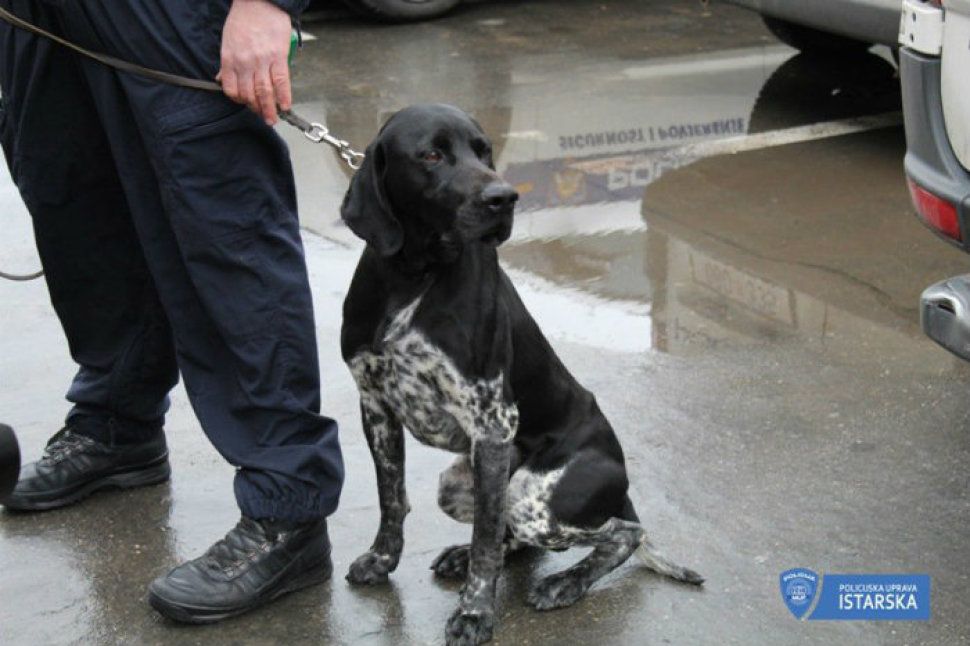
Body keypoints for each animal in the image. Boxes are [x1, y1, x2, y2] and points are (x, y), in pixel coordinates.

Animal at [336, 106, 700, 646]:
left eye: (484, 149)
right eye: (431, 154)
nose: (504, 197)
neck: (414, 276)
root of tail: (622, 484)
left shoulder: (491, 422)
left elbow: (487, 538)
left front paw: (474, 615)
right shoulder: (376, 406)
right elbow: (392, 499)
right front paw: (383, 560)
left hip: (534, 496)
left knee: (625, 533)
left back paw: (565, 583)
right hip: (460, 483)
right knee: (517, 535)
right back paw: (464, 557)